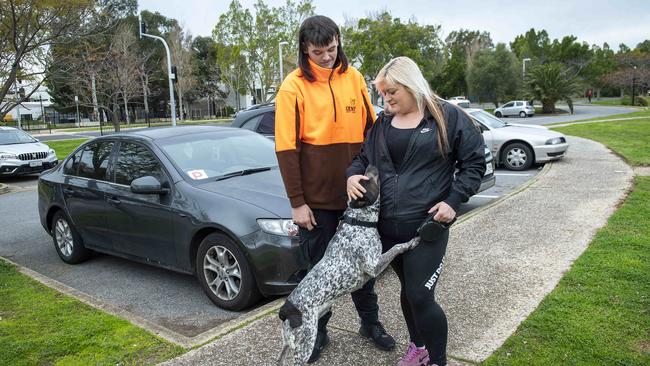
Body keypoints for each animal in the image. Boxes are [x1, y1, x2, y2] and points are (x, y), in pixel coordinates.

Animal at [276, 167, 418, 366]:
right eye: (367, 180)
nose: (371, 164)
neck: (359, 221)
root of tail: (285, 309)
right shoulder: (374, 265)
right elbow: (397, 247)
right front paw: (411, 242)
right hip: (305, 341)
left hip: (289, 341)